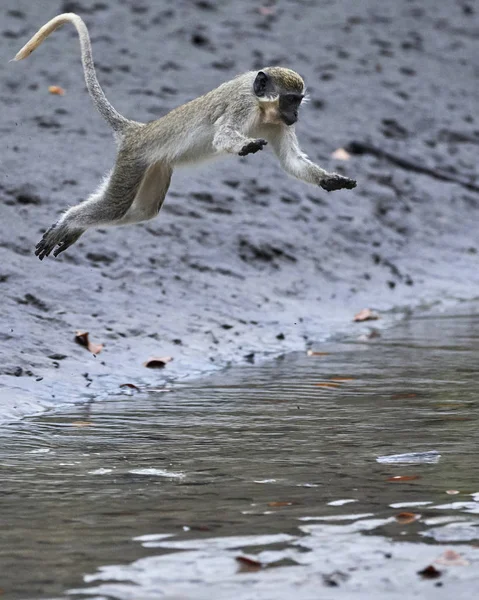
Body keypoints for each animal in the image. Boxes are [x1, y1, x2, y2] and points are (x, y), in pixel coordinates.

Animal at [13, 12, 356, 258]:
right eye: (290, 100)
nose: (296, 115)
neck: (262, 108)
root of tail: (137, 130)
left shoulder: (279, 124)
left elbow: (292, 161)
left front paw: (330, 180)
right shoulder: (242, 104)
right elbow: (224, 137)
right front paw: (246, 145)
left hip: (156, 167)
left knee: (141, 210)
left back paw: (72, 229)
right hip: (133, 160)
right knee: (115, 206)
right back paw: (69, 222)